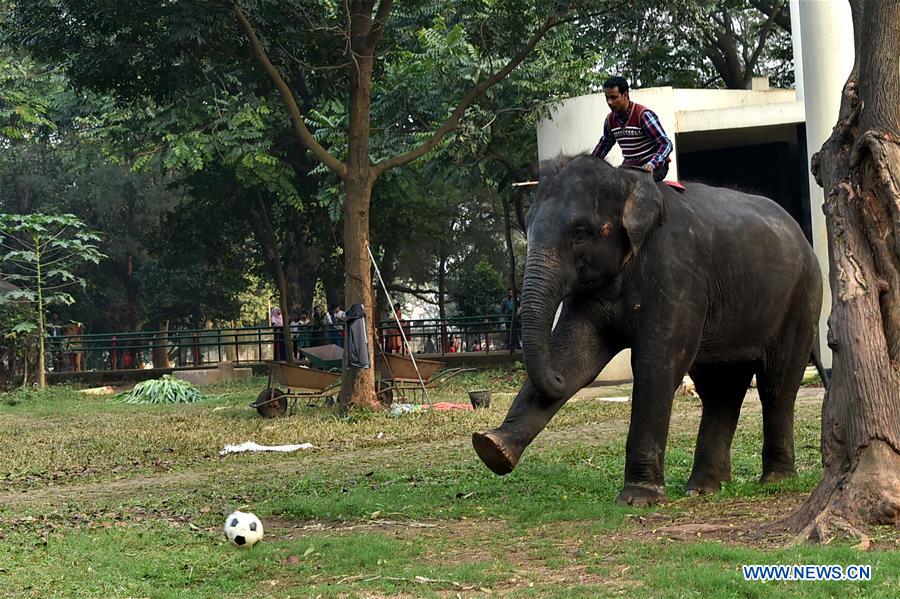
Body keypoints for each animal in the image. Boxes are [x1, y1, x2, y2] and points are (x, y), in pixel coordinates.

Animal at [474, 155, 828, 506]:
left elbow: (655, 364)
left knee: (776, 384)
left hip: (801, 298)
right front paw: (491, 448)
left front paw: (637, 499)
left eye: (580, 232)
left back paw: (775, 481)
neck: (625, 181)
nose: (555, 382)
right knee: (720, 389)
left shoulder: (677, 274)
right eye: (530, 226)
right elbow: (575, 357)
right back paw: (704, 488)